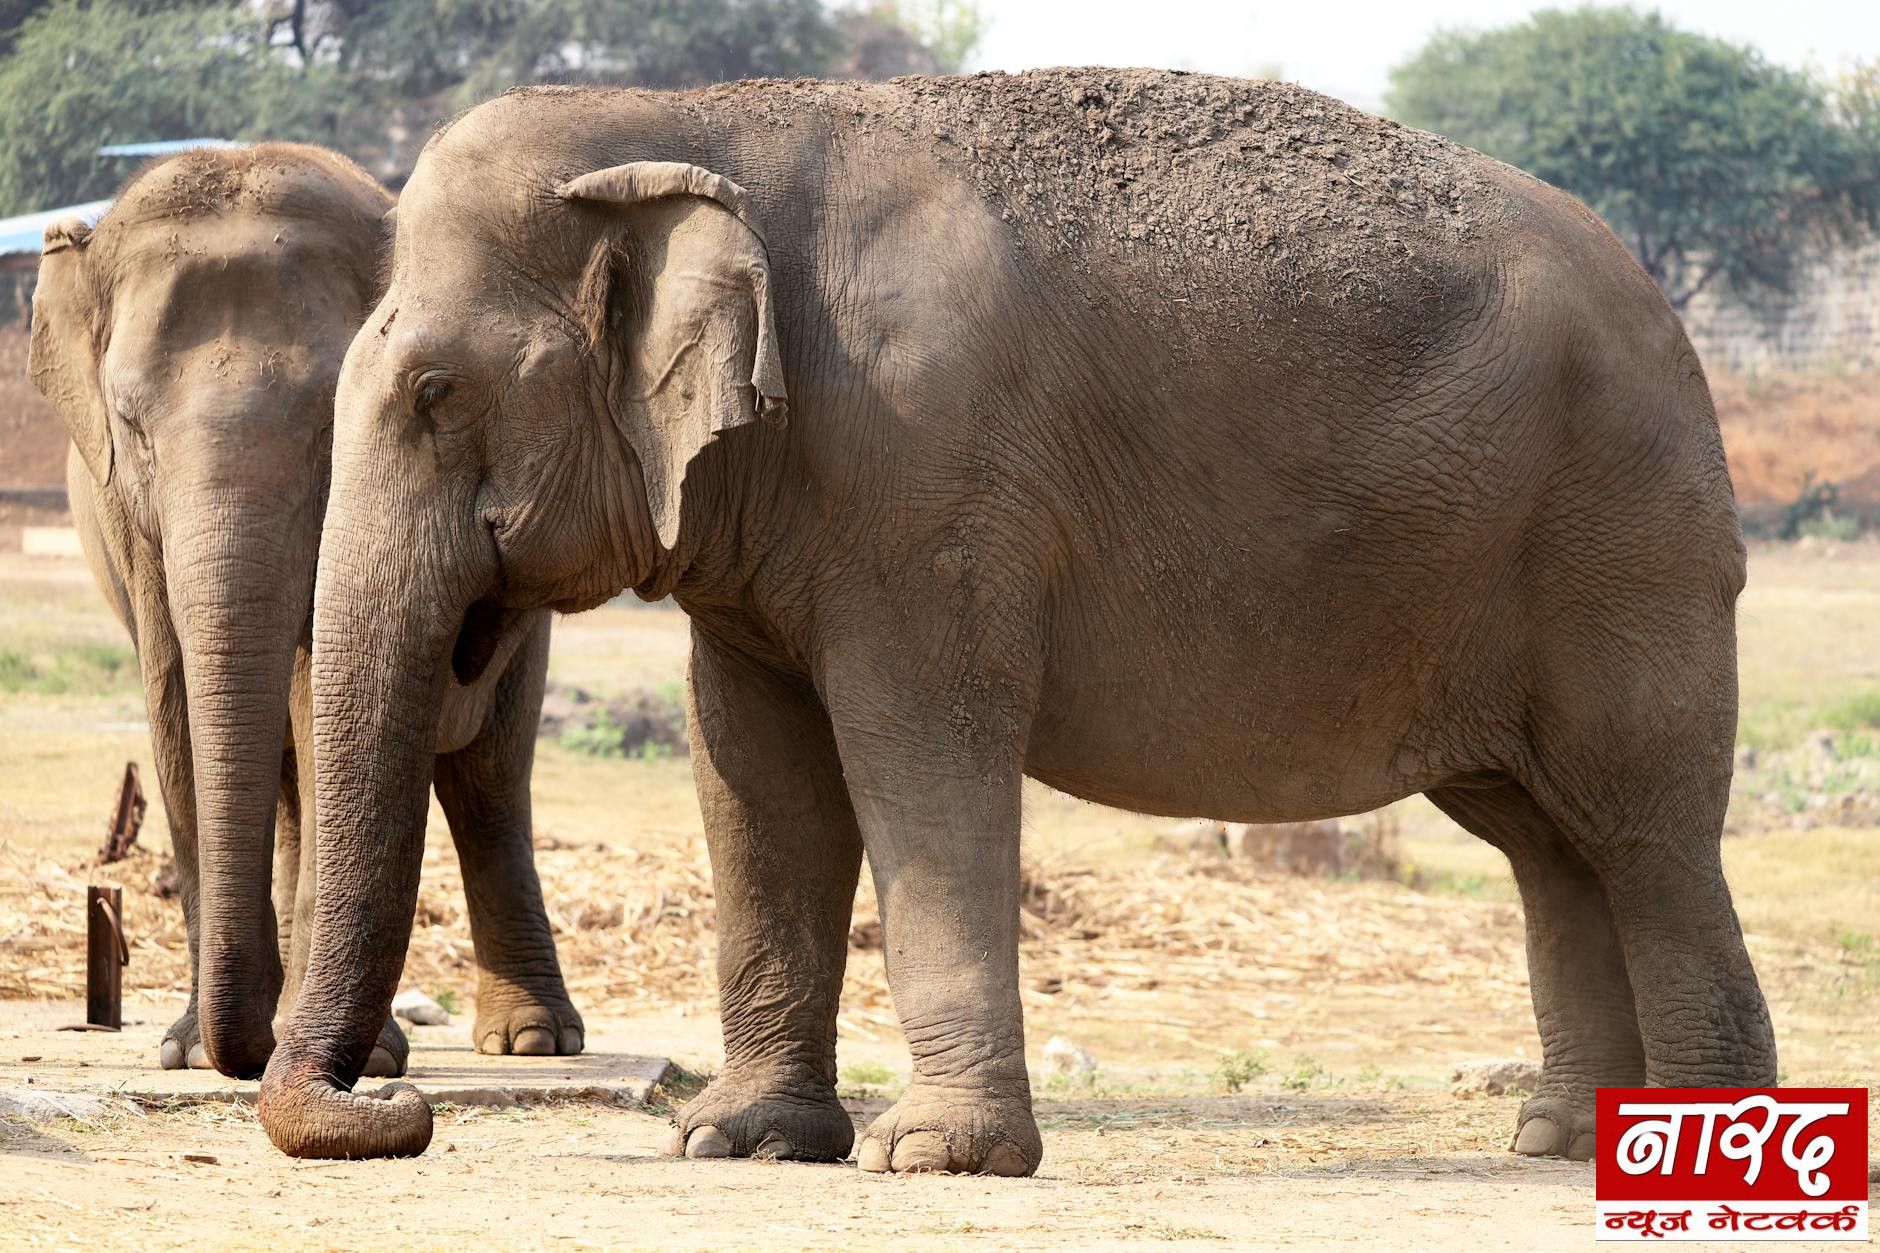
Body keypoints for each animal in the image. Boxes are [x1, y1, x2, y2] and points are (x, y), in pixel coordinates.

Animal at [29, 143, 583, 1079]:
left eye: (332, 424)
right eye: (131, 424)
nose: (248, 1051)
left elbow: (326, 693)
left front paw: (364, 1057)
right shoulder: (128, 522)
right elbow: (174, 708)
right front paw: (189, 1050)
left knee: (488, 775)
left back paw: (533, 1039)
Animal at [256, 69, 1774, 1168]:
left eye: (437, 393)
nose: (397, 1104)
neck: (699, 115)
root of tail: (1677, 328)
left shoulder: (930, 473)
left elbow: (920, 754)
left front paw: (934, 1156)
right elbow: (756, 778)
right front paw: (738, 1140)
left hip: (1622, 545)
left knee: (1639, 827)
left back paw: (1686, 1140)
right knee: (1544, 840)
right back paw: (1558, 1139)